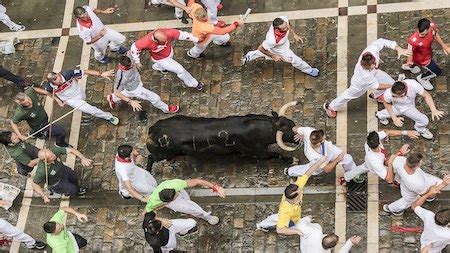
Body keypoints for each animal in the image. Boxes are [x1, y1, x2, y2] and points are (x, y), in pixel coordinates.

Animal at [146, 112, 298, 168]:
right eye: (288, 132)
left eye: (292, 123)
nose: (298, 139)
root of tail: (153, 130)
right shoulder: (261, 153)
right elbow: (276, 154)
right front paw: (292, 160)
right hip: (162, 154)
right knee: (150, 158)